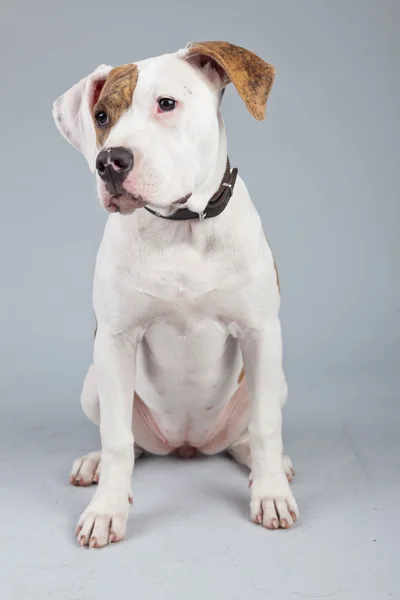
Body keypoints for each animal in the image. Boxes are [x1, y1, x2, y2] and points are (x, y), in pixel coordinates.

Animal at [52, 41, 296, 548]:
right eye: (101, 116)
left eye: (167, 104)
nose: (110, 161)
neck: (181, 227)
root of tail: (188, 445)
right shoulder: (115, 340)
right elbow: (117, 439)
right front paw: (106, 510)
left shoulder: (261, 333)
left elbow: (267, 428)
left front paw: (270, 496)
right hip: (94, 382)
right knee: (131, 440)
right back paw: (95, 465)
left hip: (273, 382)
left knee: (246, 436)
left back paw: (268, 467)